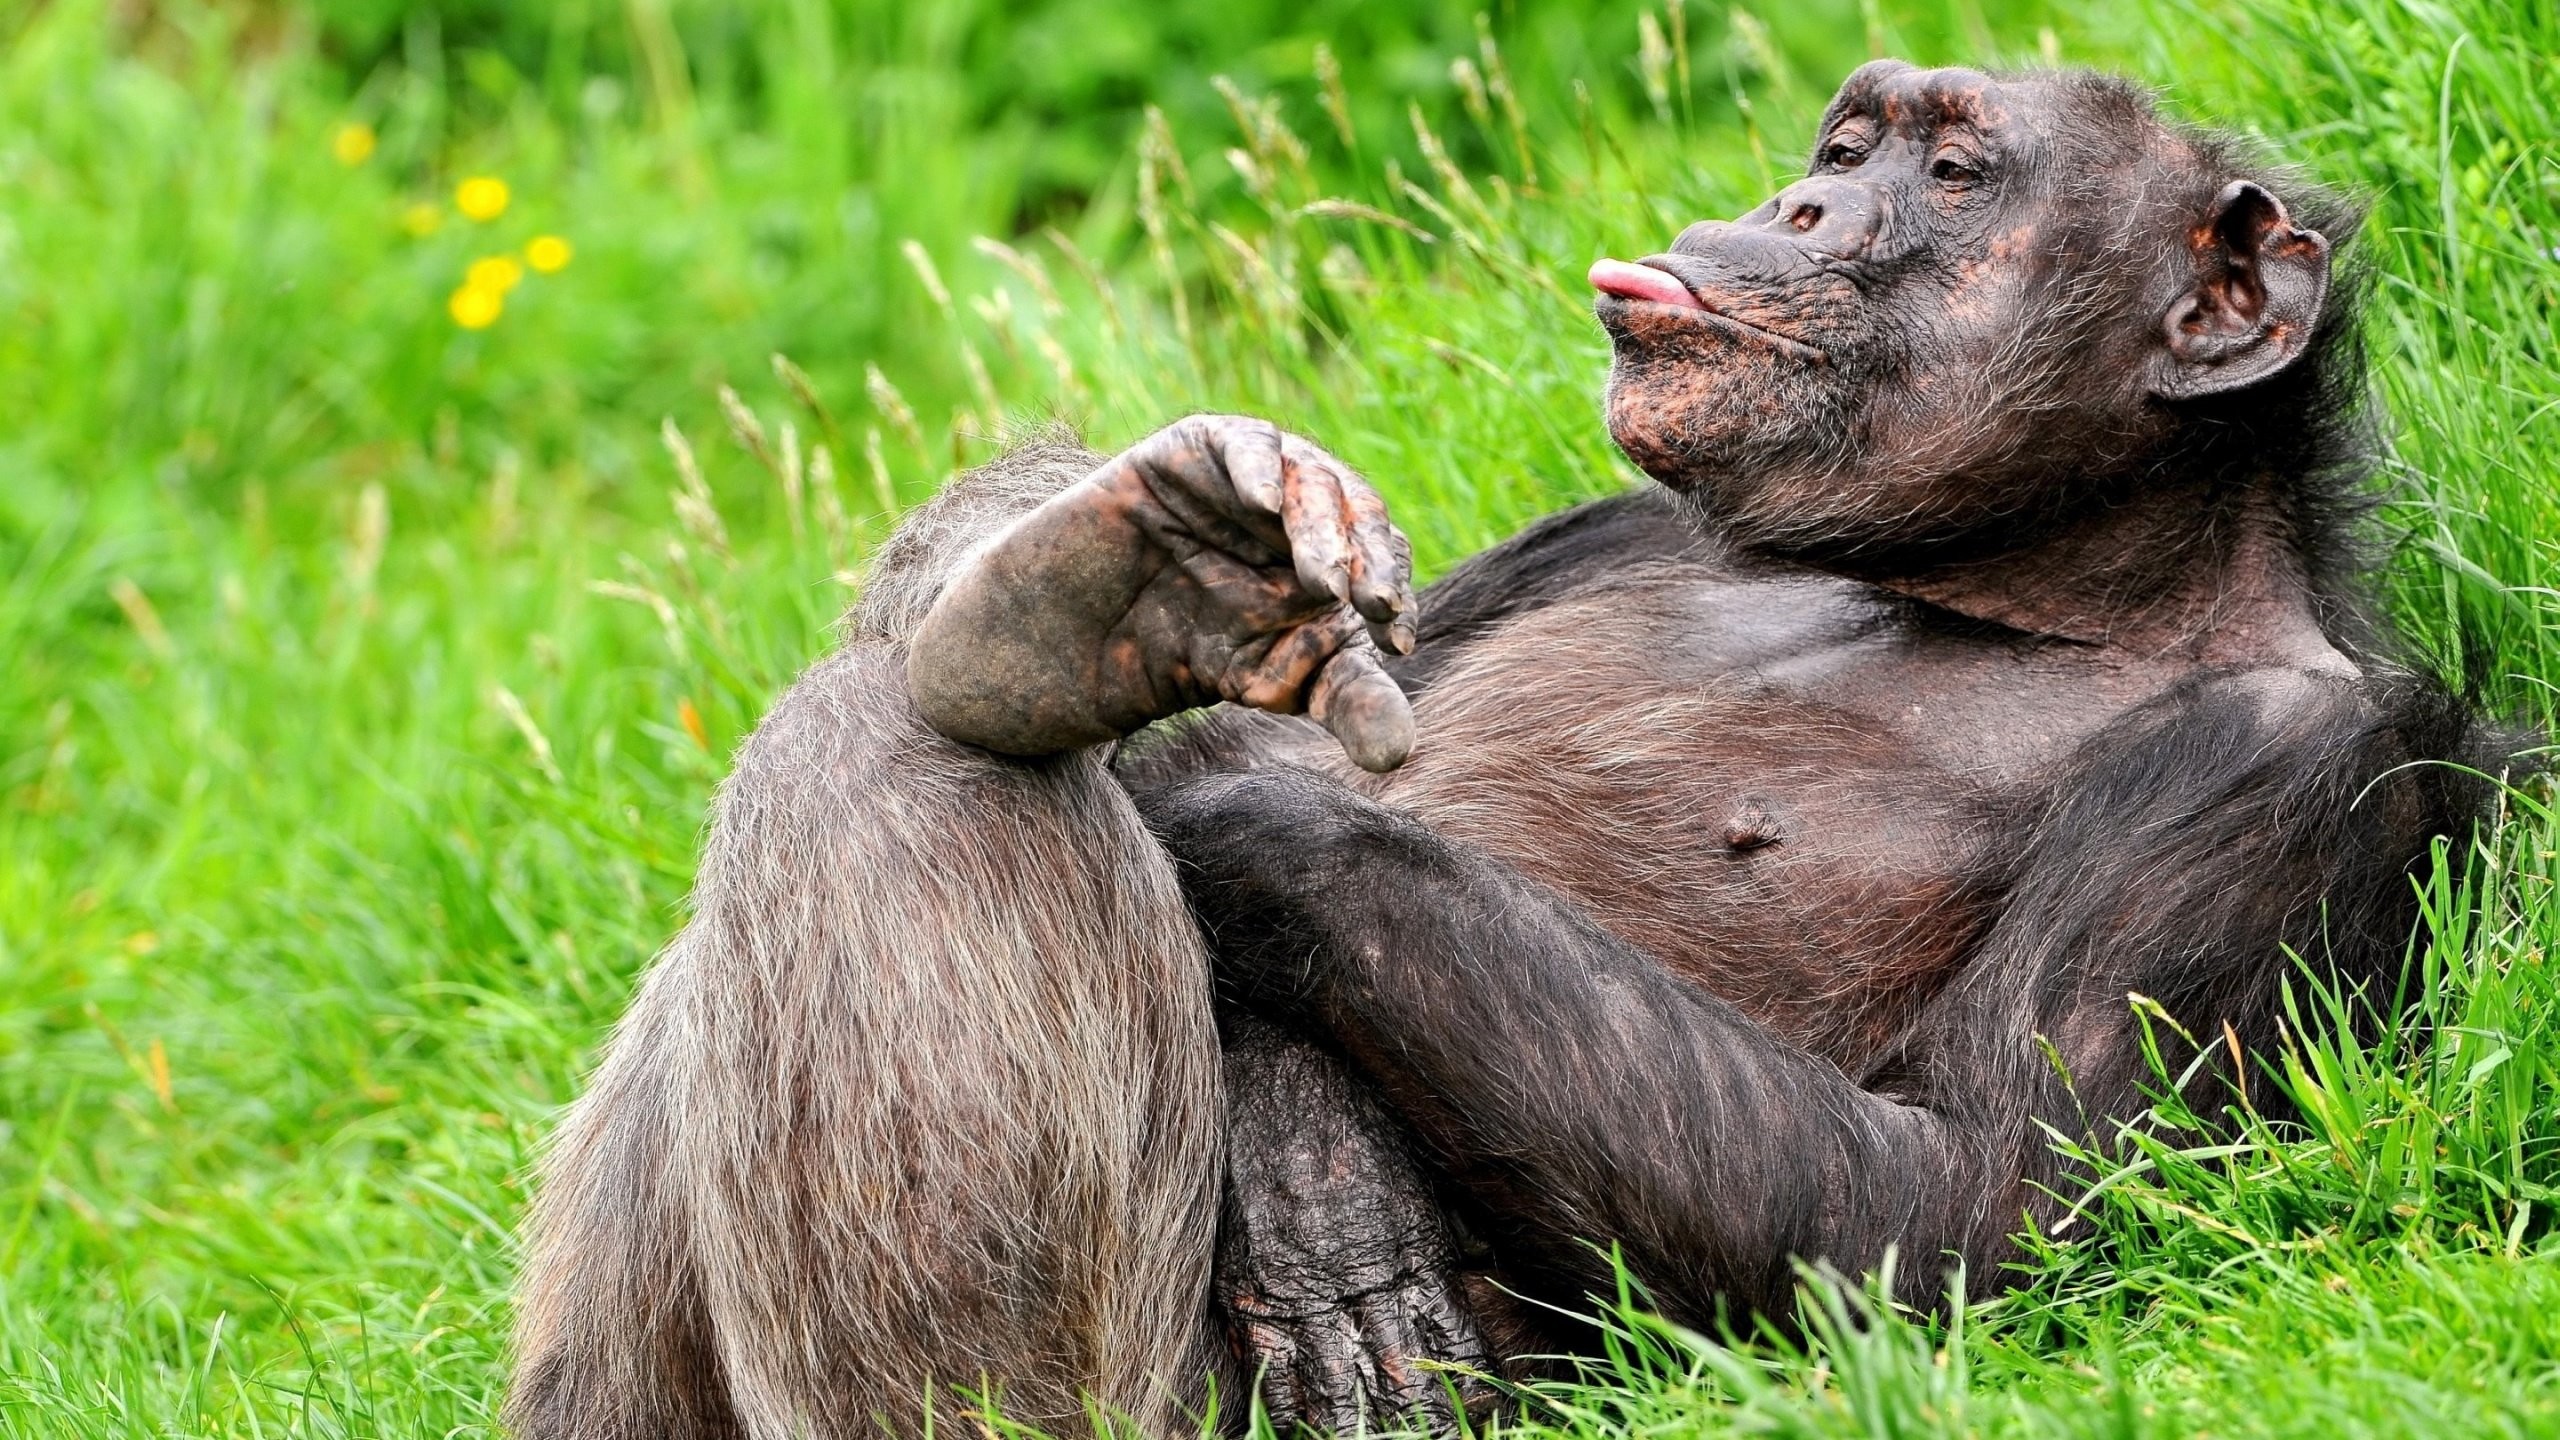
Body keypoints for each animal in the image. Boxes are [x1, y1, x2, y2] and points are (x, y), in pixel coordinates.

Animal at [505, 61, 2510, 1440]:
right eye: (1844, 150)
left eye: (1951, 175)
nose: (1793, 209)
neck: (2007, 587)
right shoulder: (1604, 531)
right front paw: (1162, 576)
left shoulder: (2285, 777)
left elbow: (1964, 1215)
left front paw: (1238, 821)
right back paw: (1080, 613)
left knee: (899, 768)